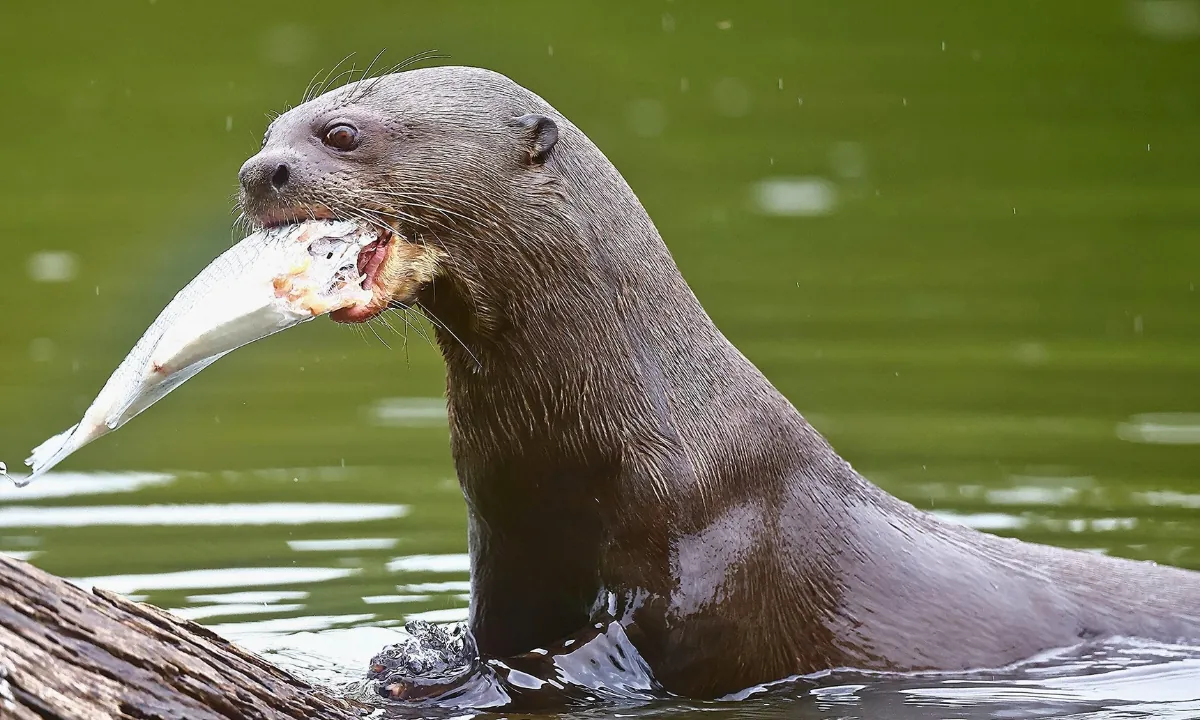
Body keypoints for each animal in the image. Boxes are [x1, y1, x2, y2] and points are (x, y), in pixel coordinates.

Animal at [237, 66, 1200, 701]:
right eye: (271, 129)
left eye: (342, 133)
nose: (257, 173)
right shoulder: (508, 541)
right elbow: (504, 622)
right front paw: (434, 659)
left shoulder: (722, 543)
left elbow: (650, 645)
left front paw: (483, 675)